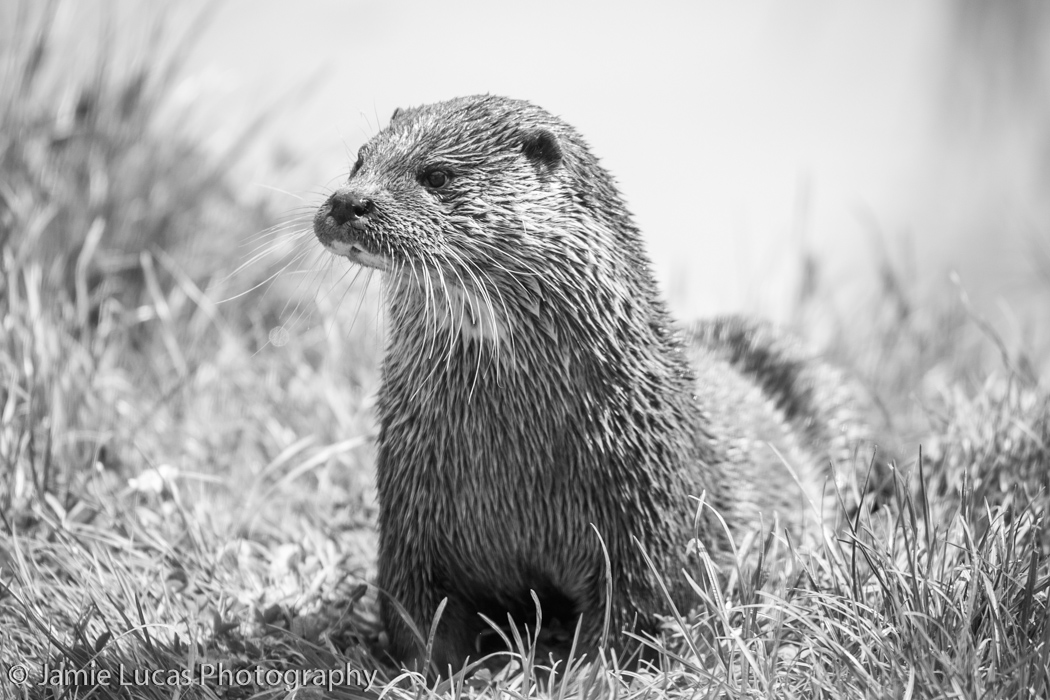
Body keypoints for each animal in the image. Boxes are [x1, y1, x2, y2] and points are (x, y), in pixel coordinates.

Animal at [312, 95, 879, 671]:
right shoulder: (411, 512)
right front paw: (440, 673)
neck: (516, 459)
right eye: (360, 160)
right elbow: (417, 614)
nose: (348, 202)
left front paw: (582, 675)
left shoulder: (647, 517)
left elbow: (633, 616)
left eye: (437, 175)